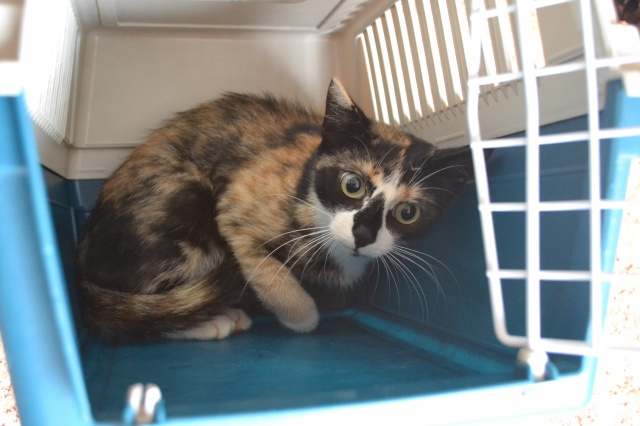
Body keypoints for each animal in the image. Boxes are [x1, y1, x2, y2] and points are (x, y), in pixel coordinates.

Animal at [76, 78, 475, 341]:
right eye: (352, 184)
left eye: (408, 213)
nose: (362, 234)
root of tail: (80, 262)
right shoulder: (236, 203)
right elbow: (267, 270)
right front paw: (302, 316)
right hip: (186, 202)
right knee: (143, 313)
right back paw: (209, 321)